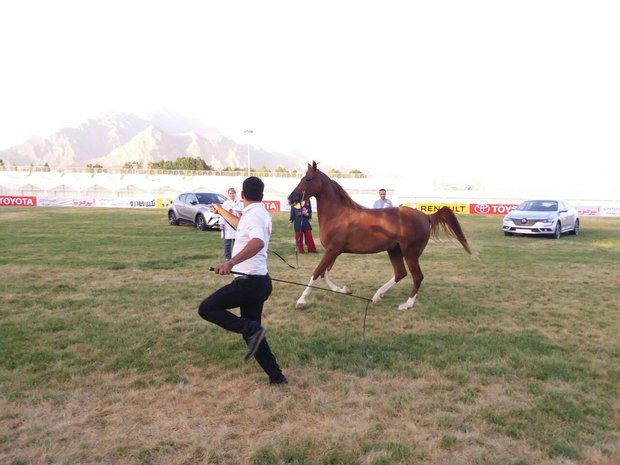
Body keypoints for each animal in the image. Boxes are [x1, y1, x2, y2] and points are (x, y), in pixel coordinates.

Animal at [288, 161, 472, 310]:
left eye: (308, 179)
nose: (291, 198)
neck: (337, 214)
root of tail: (425, 216)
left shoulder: (332, 250)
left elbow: (317, 272)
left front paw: (301, 301)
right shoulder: (334, 251)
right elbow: (324, 273)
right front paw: (344, 289)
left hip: (410, 253)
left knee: (417, 276)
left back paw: (406, 305)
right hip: (394, 250)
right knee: (400, 273)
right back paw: (377, 296)